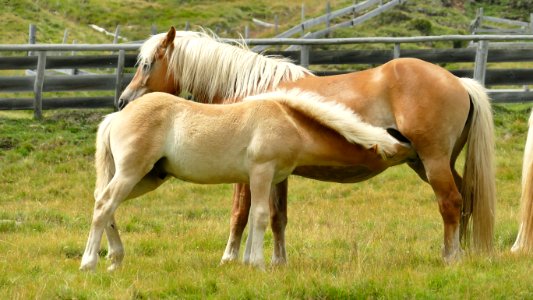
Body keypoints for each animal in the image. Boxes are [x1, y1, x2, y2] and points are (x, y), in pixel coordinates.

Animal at [80, 90, 412, 270]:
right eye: (393, 151)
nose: (414, 155)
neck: (289, 122)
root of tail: (116, 116)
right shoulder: (262, 171)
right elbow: (262, 216)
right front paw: (259, 264)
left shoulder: (266, 178)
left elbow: (256, 217)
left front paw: (249, 262)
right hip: (132, 172)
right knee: (104, 205)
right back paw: (89, 263)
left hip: (147, 177)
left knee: (105, 204)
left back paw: (115, 259)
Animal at [118, 27, 496, 264]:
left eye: (147, 64)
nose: (123, 101)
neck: (250, 89)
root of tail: (458, 81)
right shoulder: (278, 174)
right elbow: (277, 217)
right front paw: (278, 261)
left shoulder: (246, 173)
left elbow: (240, 213)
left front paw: (229, 258)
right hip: (430, 164)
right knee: (466, 199)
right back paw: (463, 252)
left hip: (433, 161)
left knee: (450, 203)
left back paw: (450, 256)